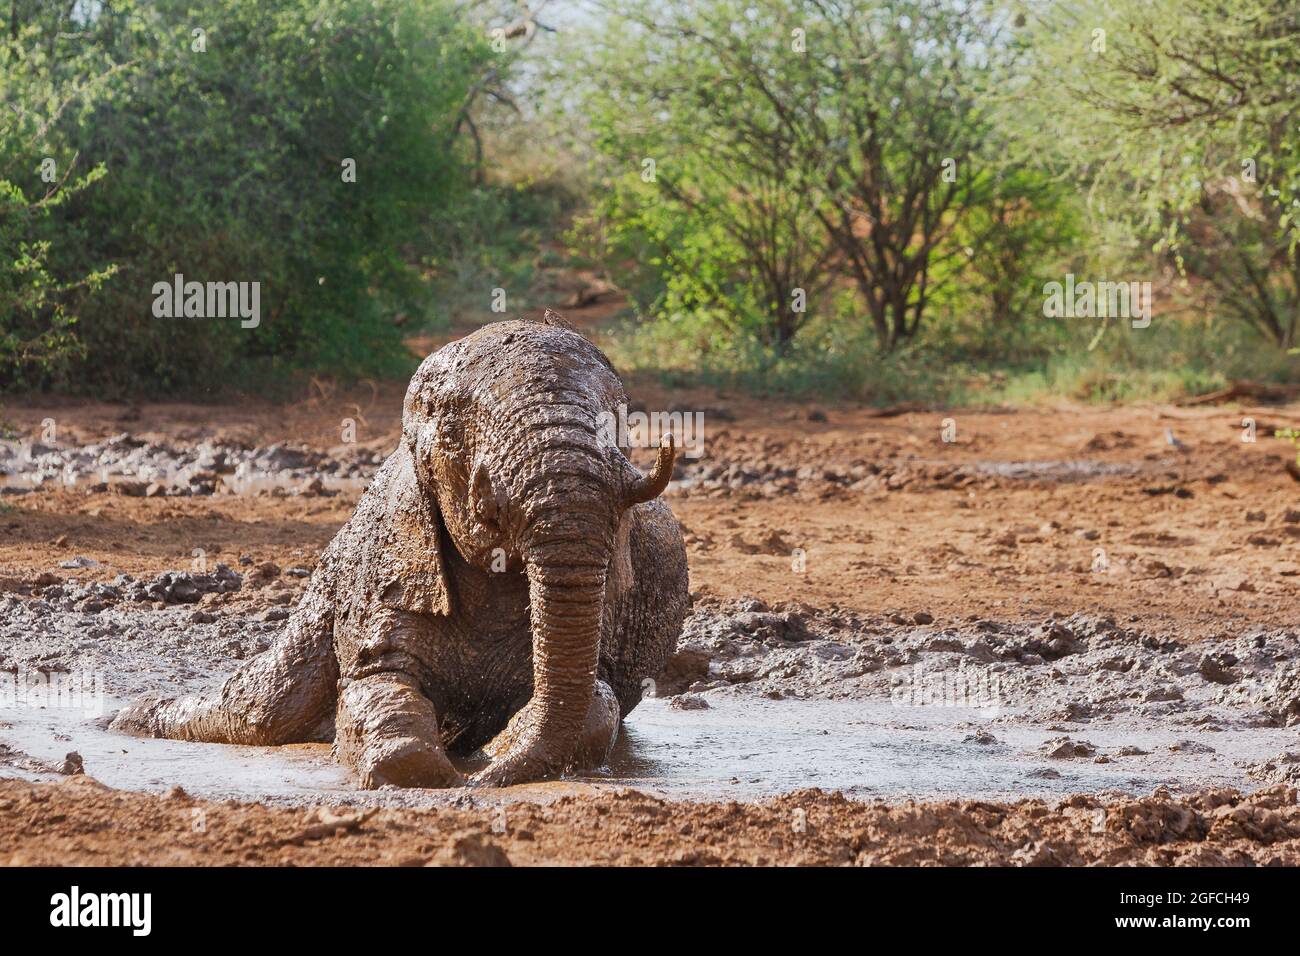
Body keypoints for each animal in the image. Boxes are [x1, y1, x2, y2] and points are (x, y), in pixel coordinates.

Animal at [110, 314, 690, 788]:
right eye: (454, 434)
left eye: (619, 420)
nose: (483, 777)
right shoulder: (385, 577)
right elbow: (376, 687)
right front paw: (433, 774)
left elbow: (596, 701)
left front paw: (492, 755)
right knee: (262, 711)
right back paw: (126, 720)